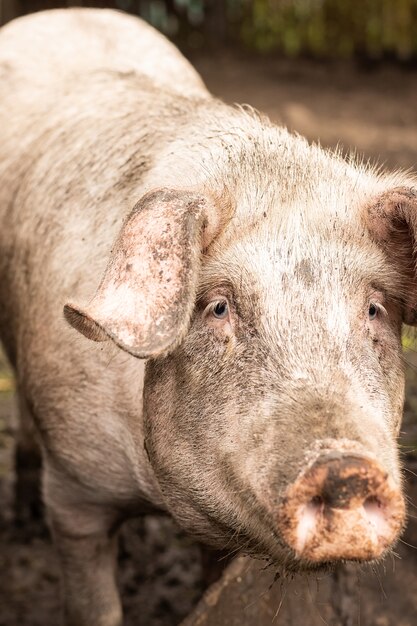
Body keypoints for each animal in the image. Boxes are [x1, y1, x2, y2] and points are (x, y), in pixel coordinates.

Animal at [0, 7, 412, 624]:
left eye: (375, 308)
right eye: (218, 306)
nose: (344, 469)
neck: (155, 497)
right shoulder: (74, 495)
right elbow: (94, 603)